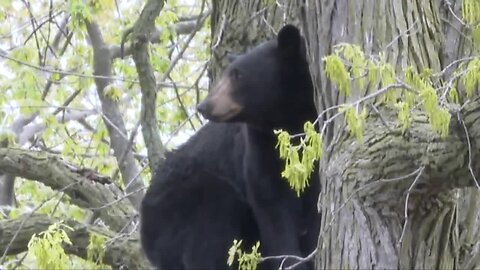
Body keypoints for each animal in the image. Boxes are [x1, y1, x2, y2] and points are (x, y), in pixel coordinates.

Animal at [141, 24, 318, 268]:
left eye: (238, 75)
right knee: (213, 213)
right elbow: (272, 204)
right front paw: (292, 261)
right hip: (171, 212)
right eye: (228, 74)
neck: (288, 120)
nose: (204, 106)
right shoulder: (260, 146)